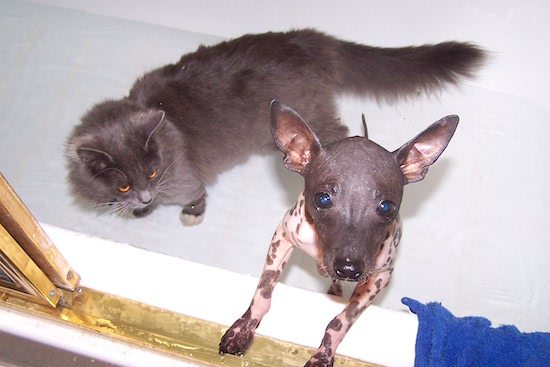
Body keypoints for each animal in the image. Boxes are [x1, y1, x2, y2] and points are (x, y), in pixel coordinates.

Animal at [66, 28, 488, 226]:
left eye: (153, 172)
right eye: (123, 185)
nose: (144, 197)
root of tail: (316, 43)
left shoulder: (182, 176)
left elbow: (193, 193)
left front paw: (190, 213)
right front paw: (137, 212)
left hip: (314, 116)